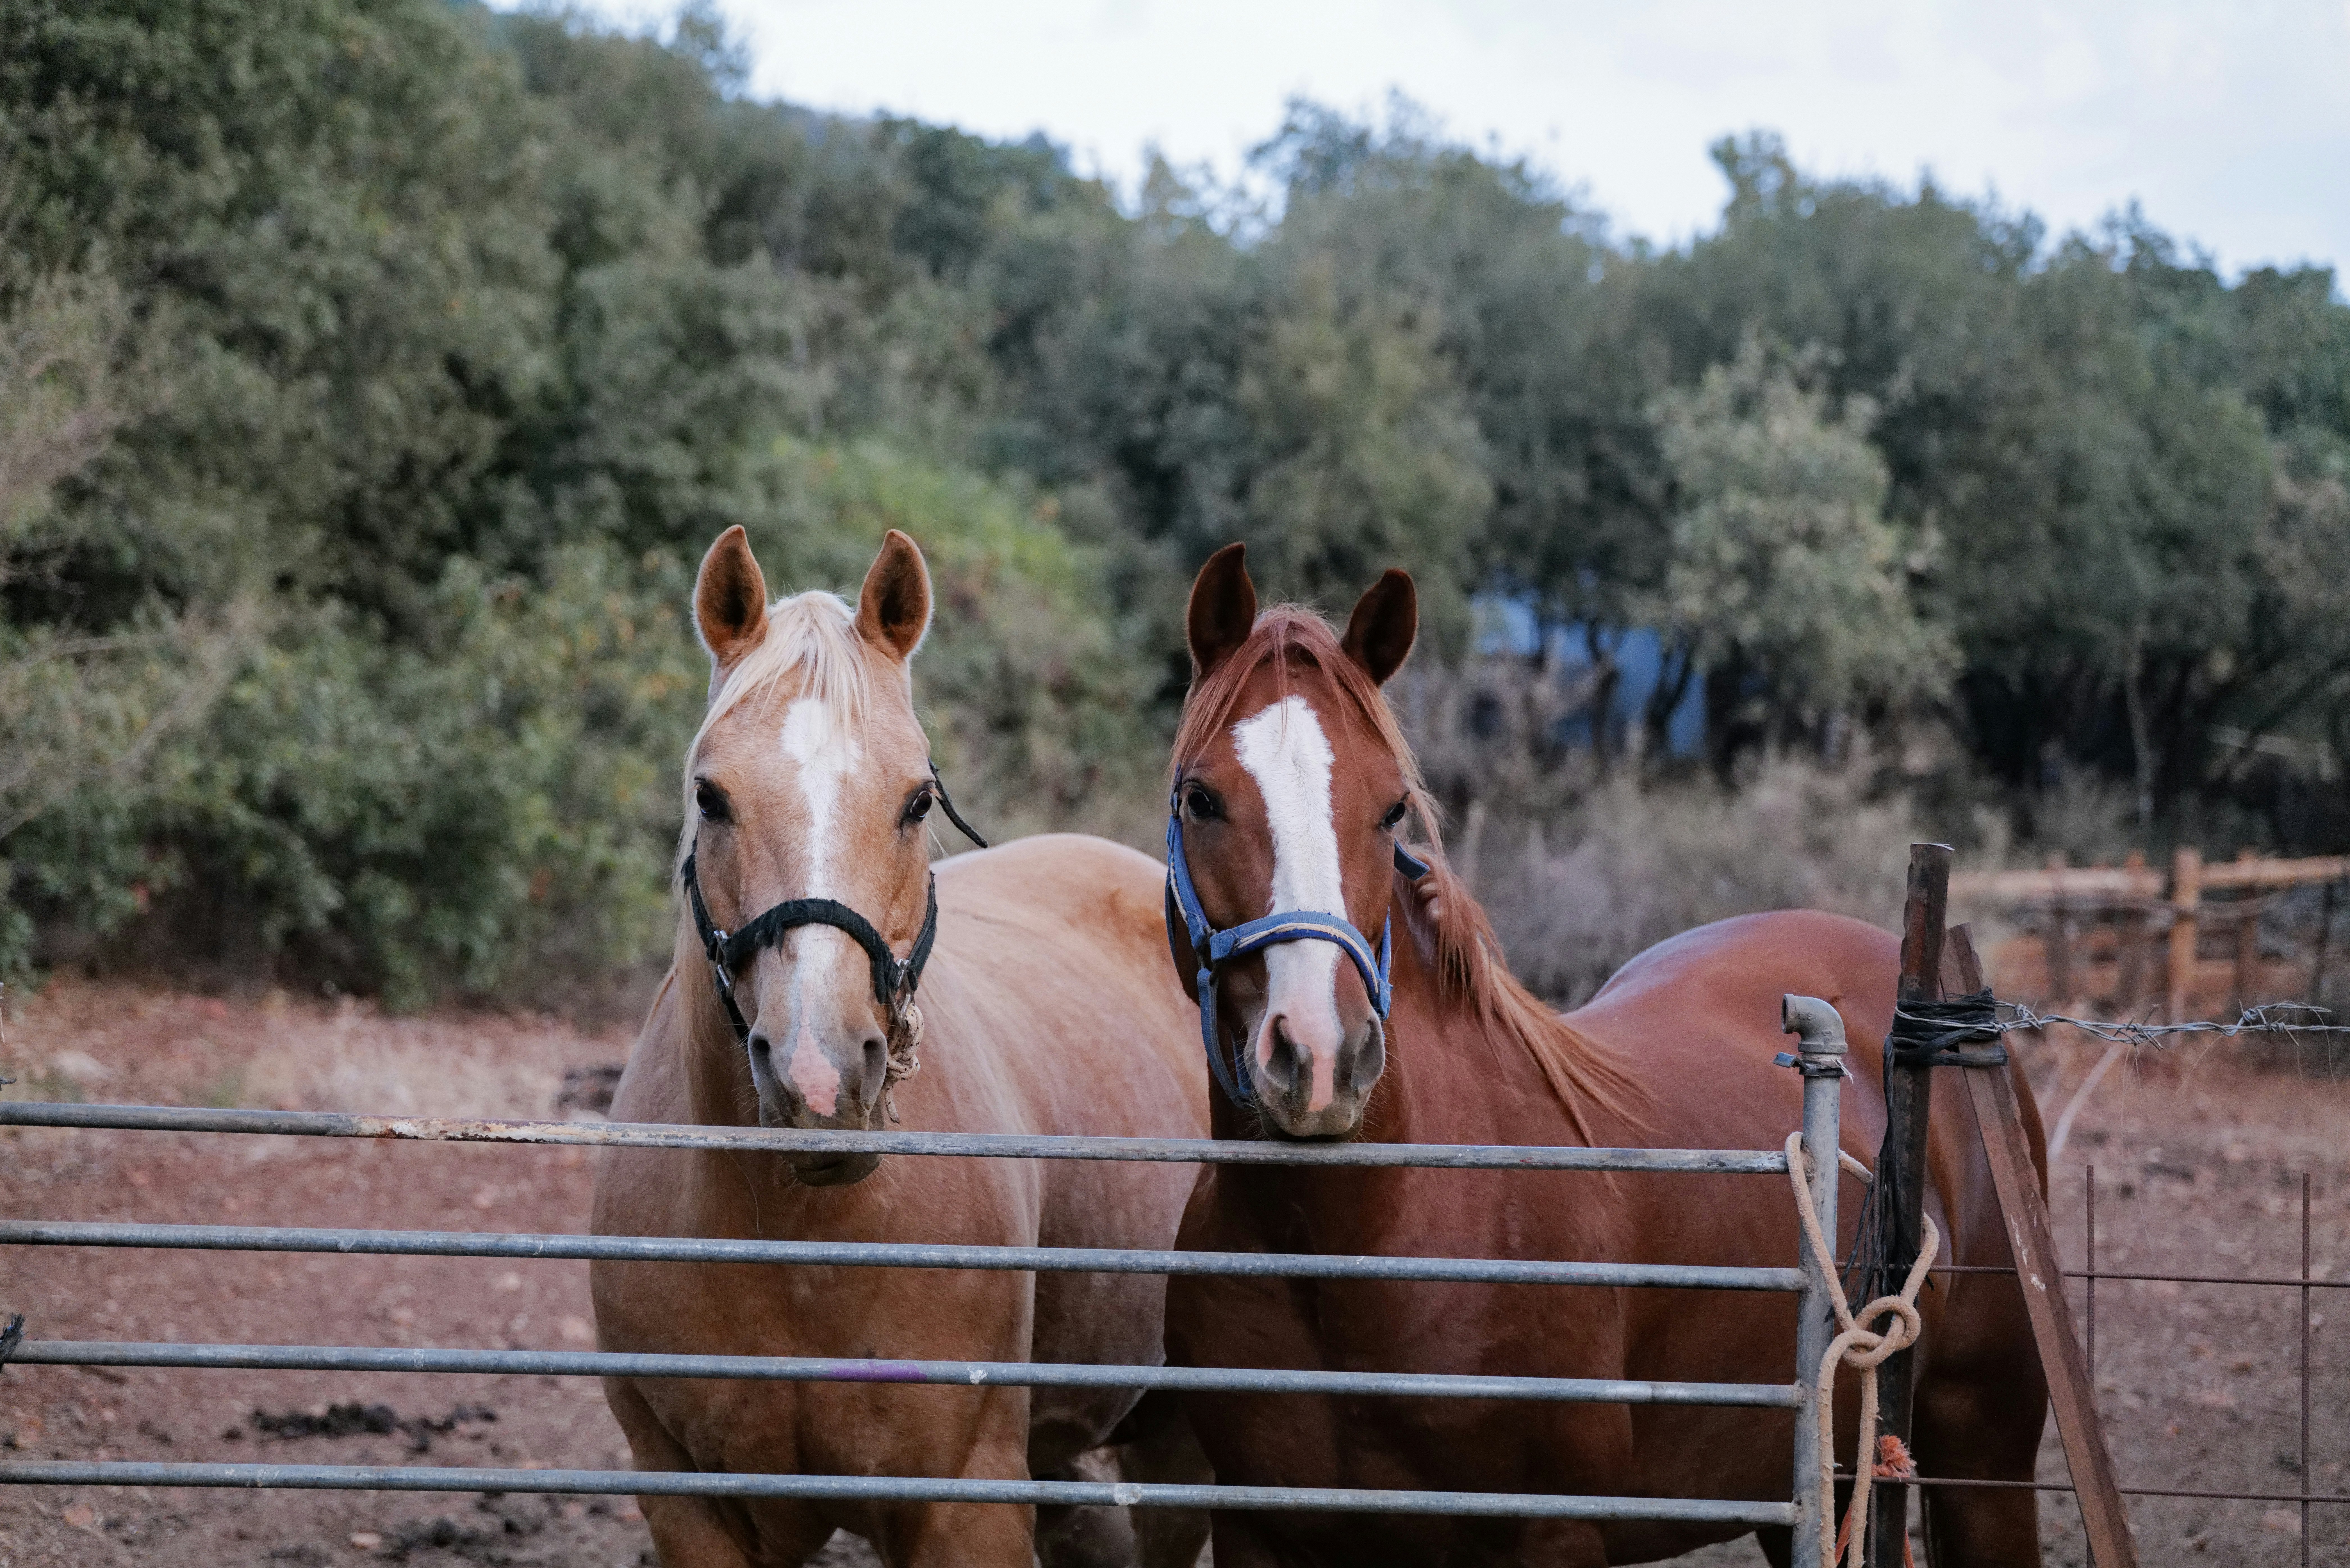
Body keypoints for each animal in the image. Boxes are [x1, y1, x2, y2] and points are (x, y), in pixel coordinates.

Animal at [590, 526, 1211, 1568]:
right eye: (710, 797)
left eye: (919, 800)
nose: (819, 1077)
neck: (799, 1241)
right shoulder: (691, 1506)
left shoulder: (964, 1506)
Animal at [1158, 543, 2049, 1567]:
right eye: (1200, 798)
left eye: (1391, 809)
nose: (1320, 1055)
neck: (1368, 1237)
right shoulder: (1258, 1529)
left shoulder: (1552, 1535)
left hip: (1985, 1454)